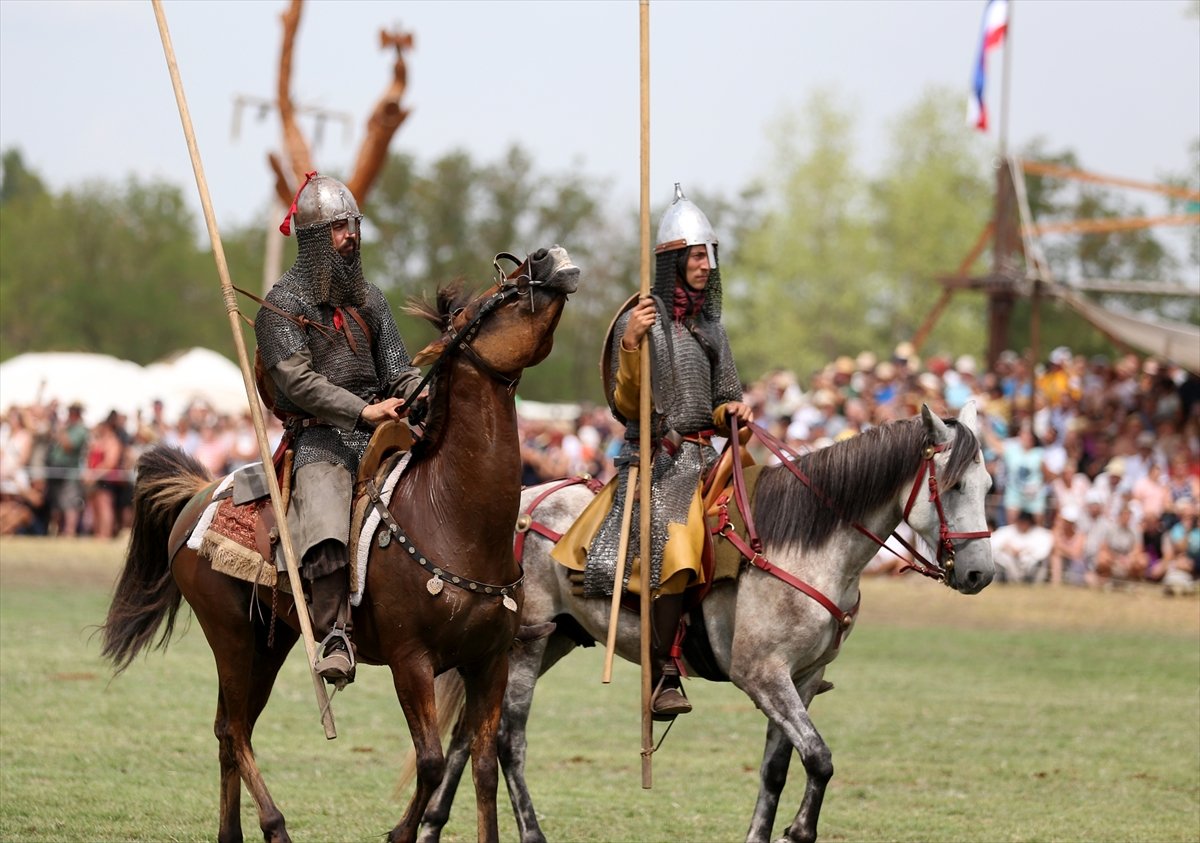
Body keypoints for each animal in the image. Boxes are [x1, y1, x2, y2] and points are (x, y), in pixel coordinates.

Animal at [100, 246, 578, 843]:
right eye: (490, 300)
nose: (548, 256)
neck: (452, 516)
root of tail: (200, 495)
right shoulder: (411, 662)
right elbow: (431, 762)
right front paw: (399, 833)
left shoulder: (488, 662)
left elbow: (483, 766)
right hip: (230, 636)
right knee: (234, 731)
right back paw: (275, 825)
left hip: (271, 641)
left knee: (229, 729)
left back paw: (233, 832)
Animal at [415, 403, 993, 843]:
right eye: (953, 486)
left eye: (989, 486)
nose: (979, 573)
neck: (805, 545)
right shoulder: (763, 676)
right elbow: (820, 758)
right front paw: (799, 831)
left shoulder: (802, 681)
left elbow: (778, 768)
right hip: (528, 644)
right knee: (507, 740)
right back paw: (529, 833)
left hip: (546, 641)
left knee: (470, 733)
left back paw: (432, 826)